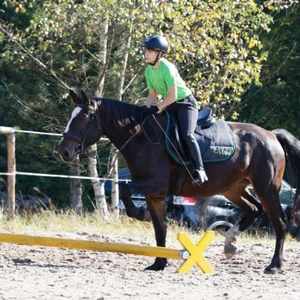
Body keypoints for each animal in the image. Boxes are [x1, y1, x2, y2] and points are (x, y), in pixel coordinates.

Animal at [56, 89, 300, 274]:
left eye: (83, 118)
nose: (63, 151)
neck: (143, 137)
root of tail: (272, 135)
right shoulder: (153, 195)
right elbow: (159, 229)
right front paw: (158, 262)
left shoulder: (156, 185)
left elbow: (125, 190)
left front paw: (140, 214)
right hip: (233, 188)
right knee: (253, 209)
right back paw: (230, 244)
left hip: (266, 188)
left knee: (279, 223)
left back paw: (274, 265)